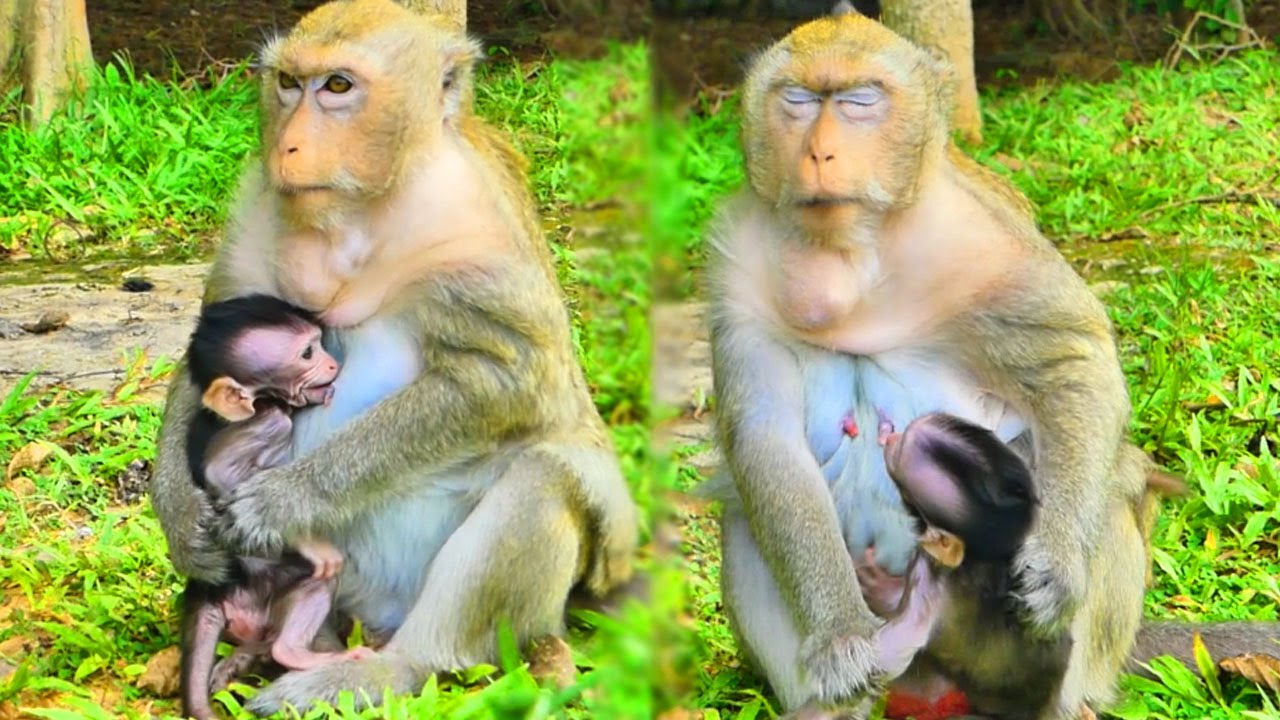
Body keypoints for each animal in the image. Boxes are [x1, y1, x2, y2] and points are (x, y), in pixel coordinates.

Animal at [179, 294, 374, 720]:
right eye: (307, 353)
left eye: (318, 343)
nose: (332, 364)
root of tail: (214, 590)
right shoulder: (263, 423)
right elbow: (222, 476)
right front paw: (307, 540)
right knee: (318, 582)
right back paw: (293, 654)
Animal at [703, 10, 1280, 719]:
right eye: (800, 101)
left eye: (860, 101)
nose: (819, 154)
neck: (852, 252)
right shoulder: (737, 263)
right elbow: (766, 439)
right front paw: (838, 637)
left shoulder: (986, 239)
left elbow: (1073, 364)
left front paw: (1055, 565)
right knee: (745, 514)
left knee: (1109, 477)